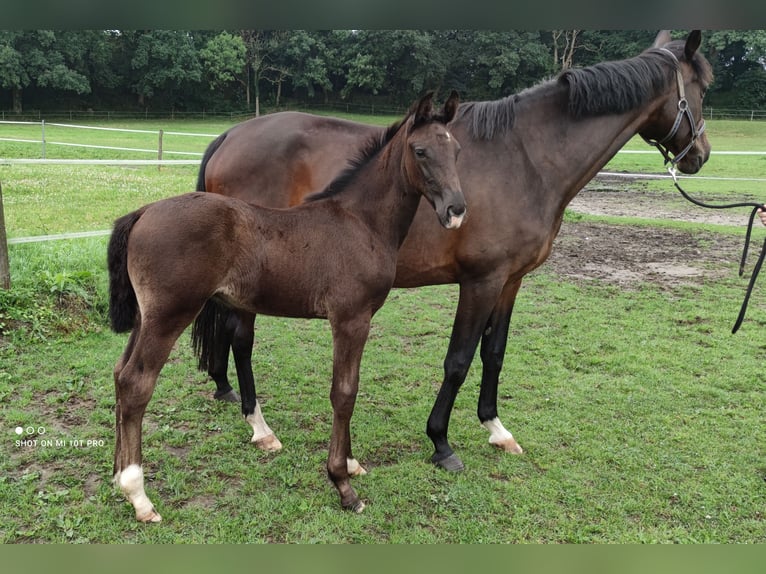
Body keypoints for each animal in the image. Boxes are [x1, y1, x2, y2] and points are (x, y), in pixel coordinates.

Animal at [106, 92, 468, 524]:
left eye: (457, 150)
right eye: (420, 150)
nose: (456, 210)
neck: (361, 221)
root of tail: (143, 211)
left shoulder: (356, 321)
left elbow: (349, 389)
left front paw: (351, 464)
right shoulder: (351, 319)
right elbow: (344, 392)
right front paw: (343, 485)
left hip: (145, 317)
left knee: (120, 372)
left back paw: (118, 477)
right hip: (168, 315)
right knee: (137, 383)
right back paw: (139, 495)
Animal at [196, 30, 712, 472]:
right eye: (703, 87)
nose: (700, 155)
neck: (526, 159)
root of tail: (231, 135)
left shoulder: (511, 280)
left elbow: (495, 352)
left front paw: (497, 428)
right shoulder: (480, 280)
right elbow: (458, 360)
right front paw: (441, 442)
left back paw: (227, 392)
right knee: (241, 337)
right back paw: (260, 426)